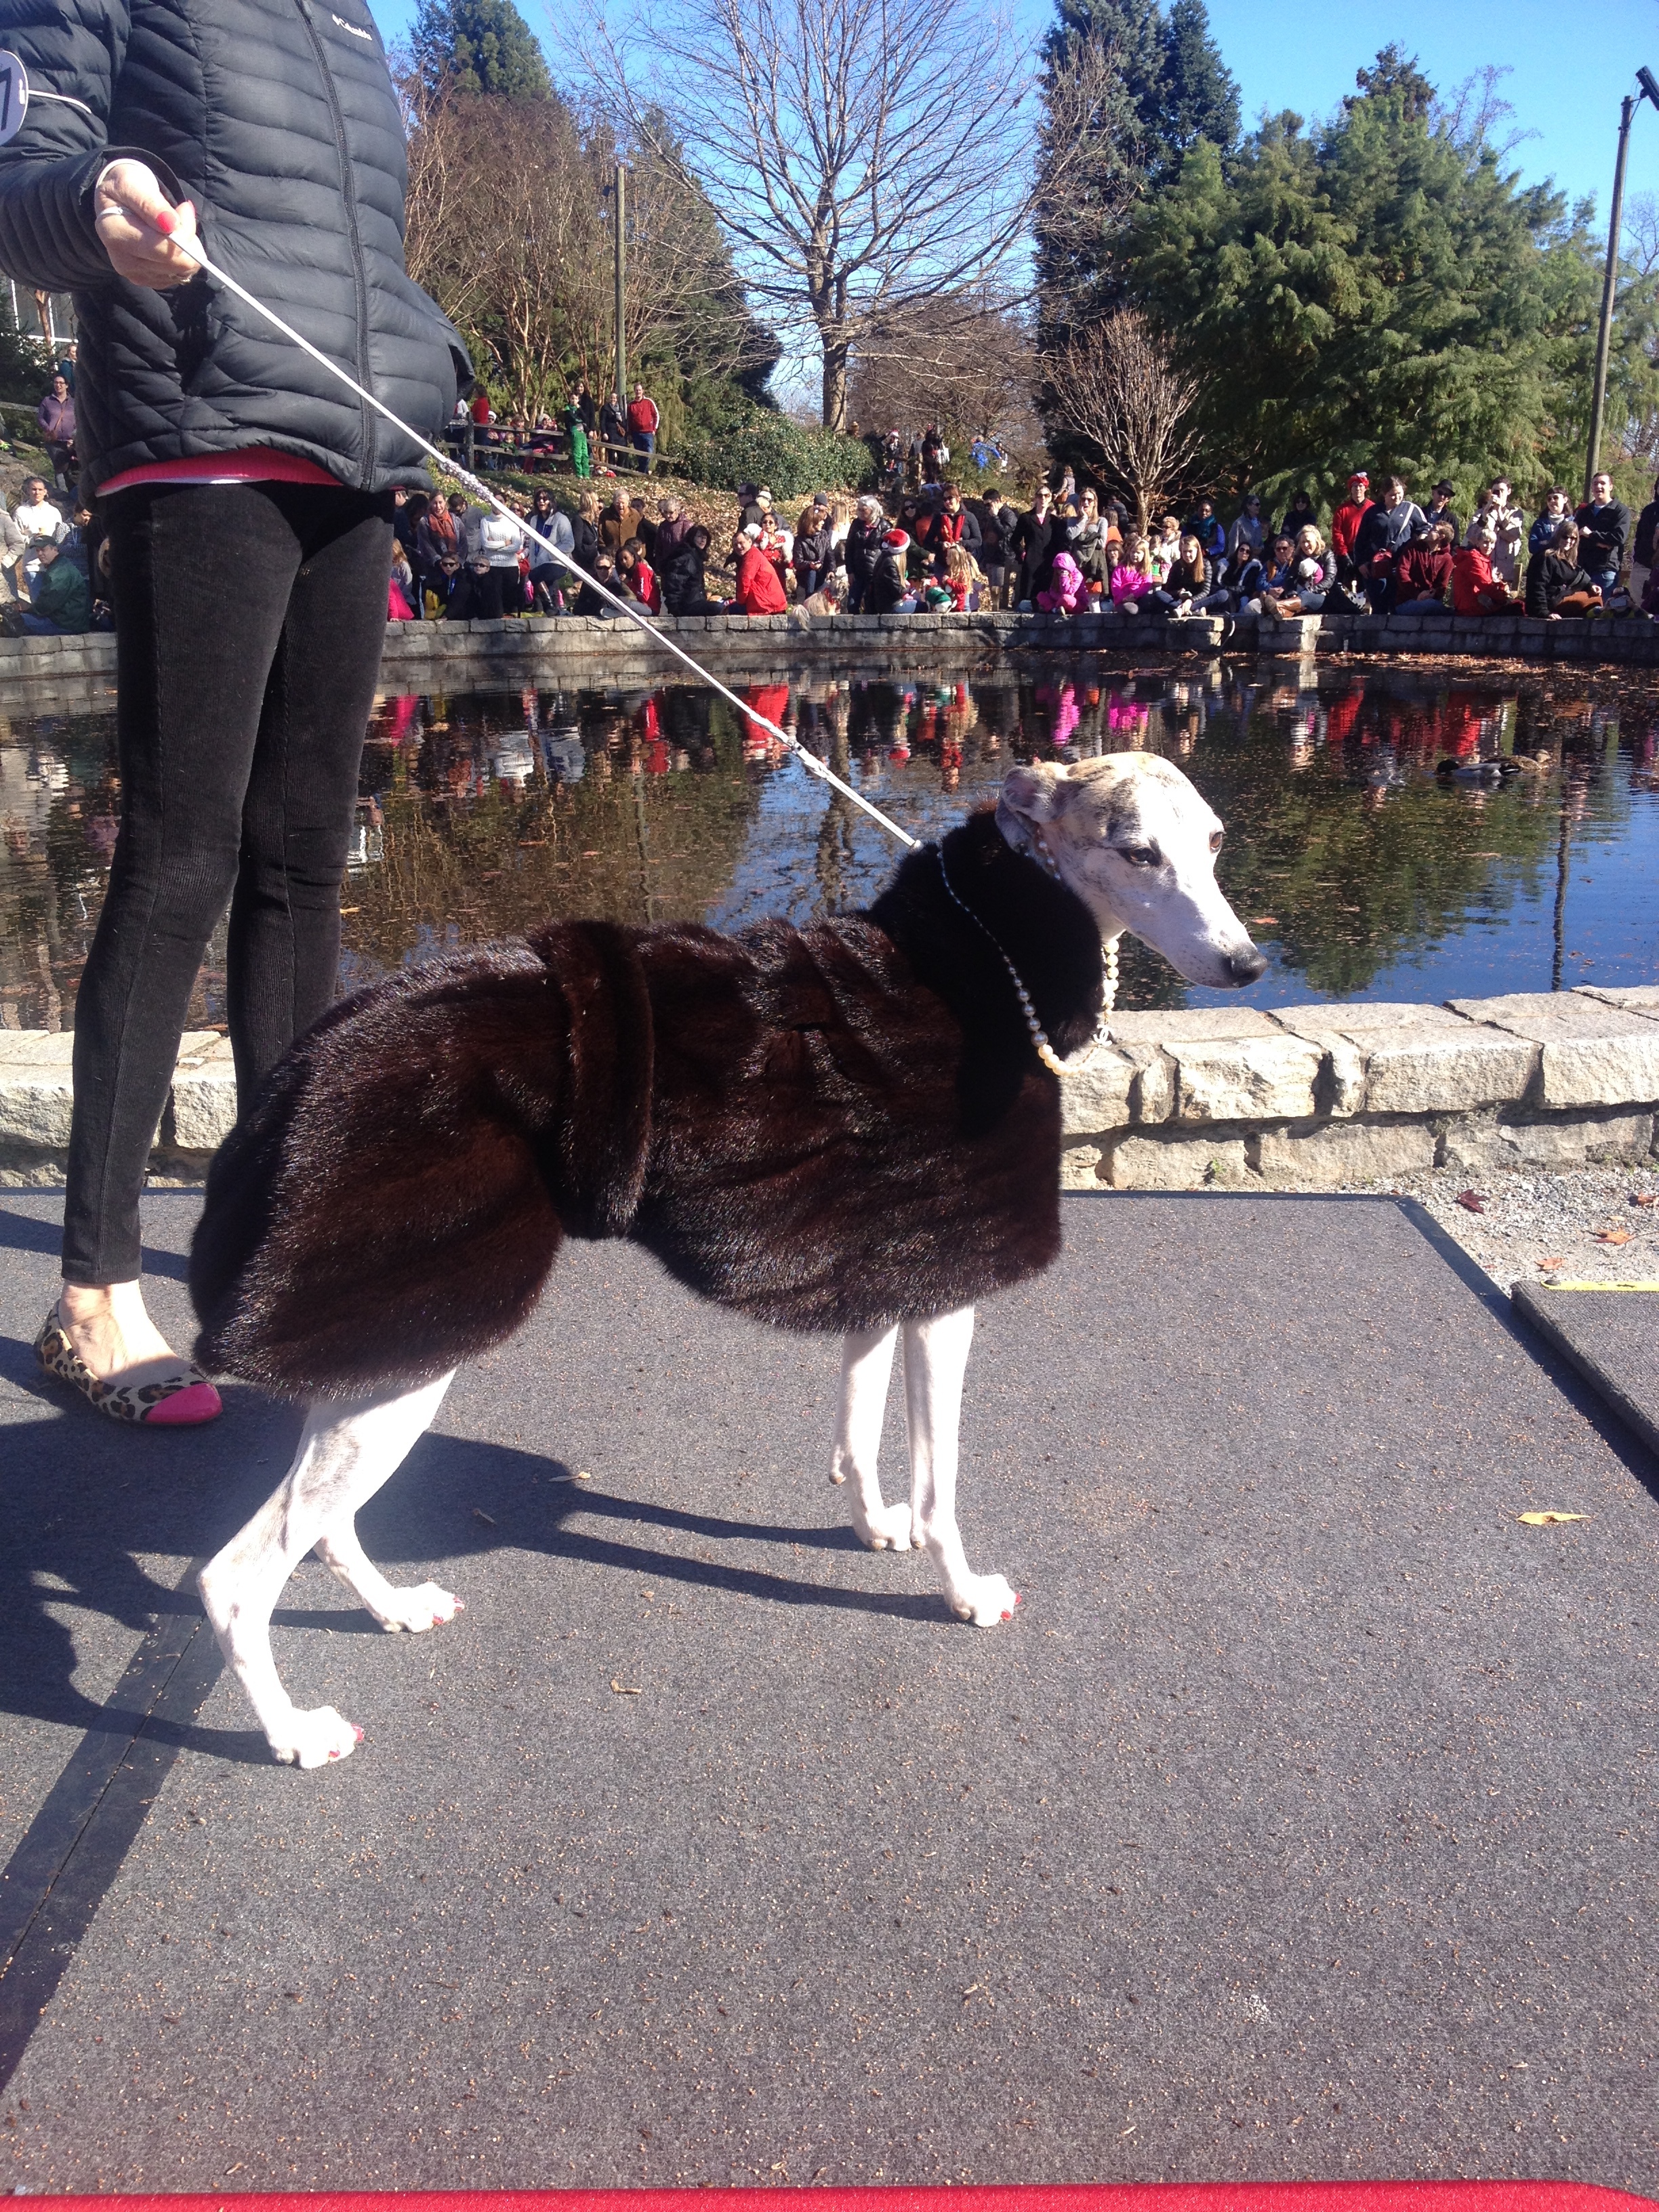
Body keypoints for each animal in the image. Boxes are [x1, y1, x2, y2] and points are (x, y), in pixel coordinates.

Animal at [191, 752, 1256, 1769]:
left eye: (1213, 840)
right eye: (1136, 853)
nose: (1244, 963)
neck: (978, 958)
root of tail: (313, 1056)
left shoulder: (886, 1275)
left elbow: (857, 1429)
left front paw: (873, 1525)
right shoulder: (946, 1297)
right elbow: (940, 1481)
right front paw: (960, 1589)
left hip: (379, 1362)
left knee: (324, 1527)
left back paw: (393, 1608)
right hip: (404, 1358)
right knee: (233, 1579)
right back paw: (293, 1733)